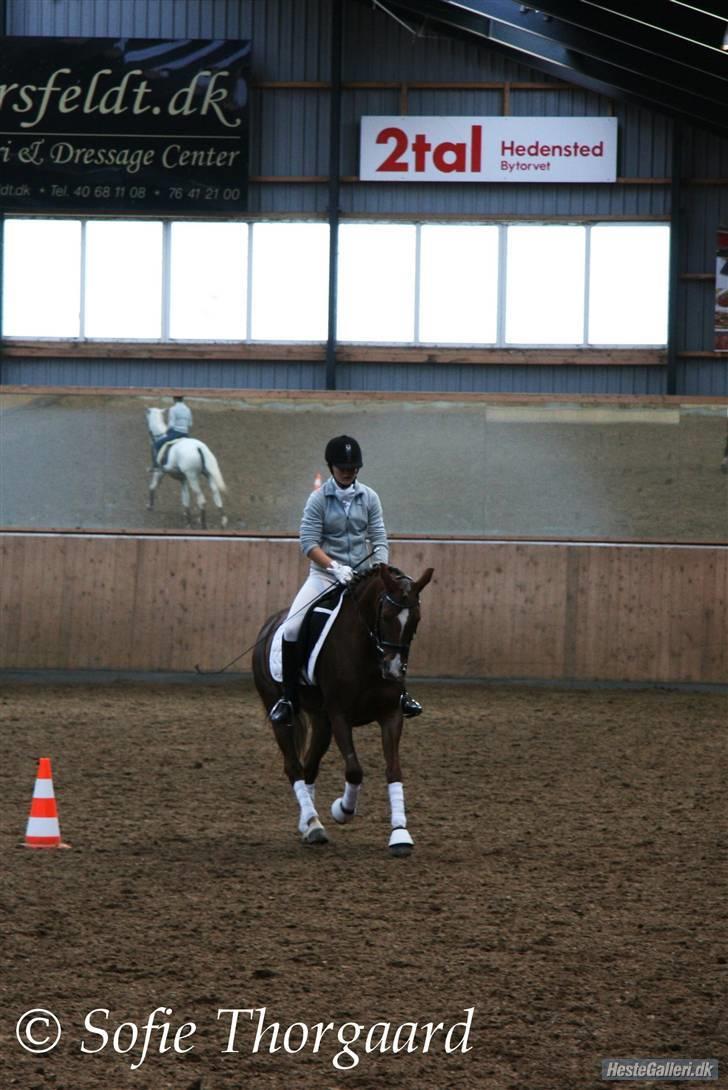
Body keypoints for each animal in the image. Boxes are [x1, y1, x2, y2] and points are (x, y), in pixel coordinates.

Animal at [251, 566, 431, 854]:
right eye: (386, 616)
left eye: (416, 618)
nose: (393, 670)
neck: (368, 652)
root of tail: (270, 624)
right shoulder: (339, 716)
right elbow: (354, 770)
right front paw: (342, 810)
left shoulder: (391, 715)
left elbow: (394, 769)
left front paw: (400, 834)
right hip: (279, 711)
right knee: (294, 767)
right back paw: (313, 824)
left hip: (321, 721)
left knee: (310, 766)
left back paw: (308, 823)